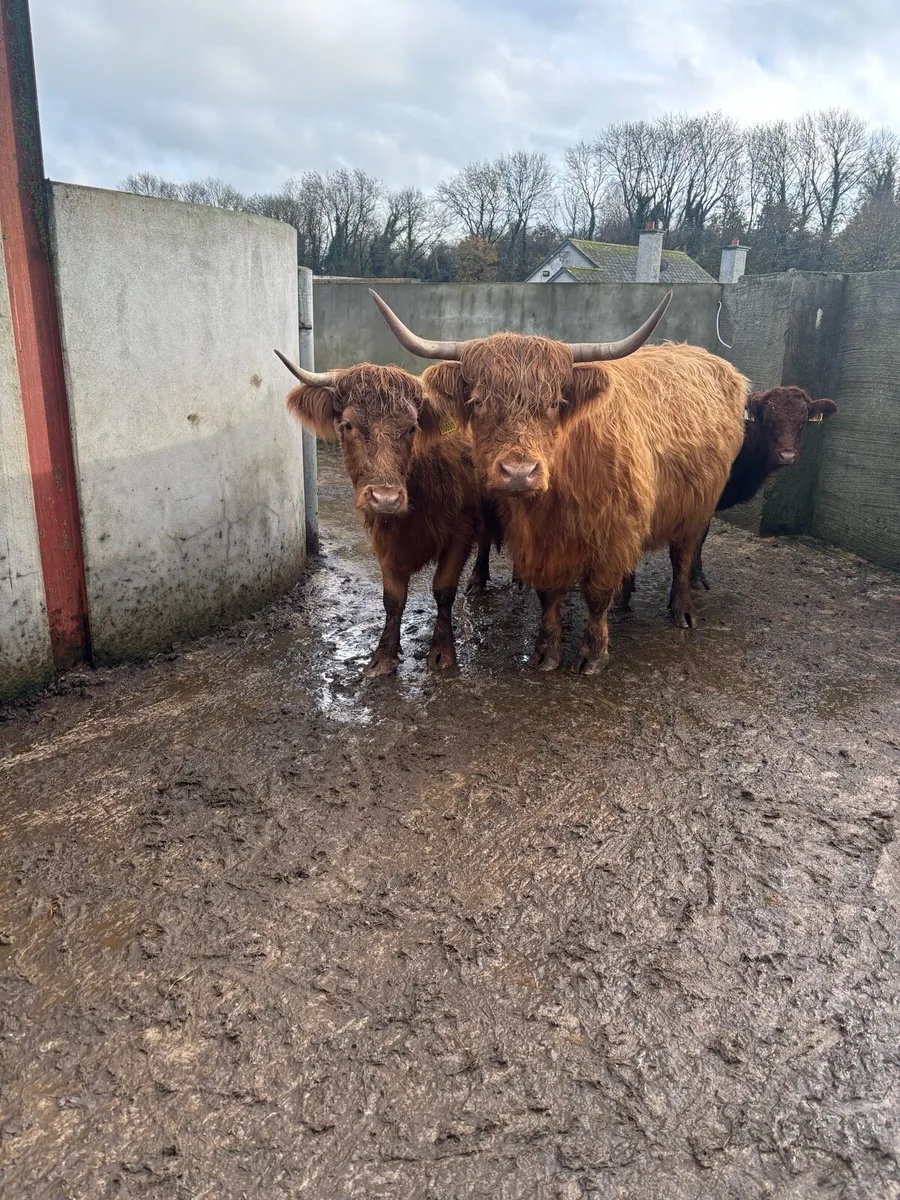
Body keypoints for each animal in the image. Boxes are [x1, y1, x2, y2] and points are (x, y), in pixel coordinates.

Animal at [275, 352, 497, 677]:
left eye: (412, 427)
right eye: (348, 425)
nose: (386, 498)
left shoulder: (460, 533)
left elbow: (444, 590)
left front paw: (442, 652)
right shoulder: (385, 539)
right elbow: (392, 598)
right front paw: (384, 655)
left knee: (487, 539)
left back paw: (479, 579)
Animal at [369, 289, 750, 673]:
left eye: (554, 402)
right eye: (478, 401)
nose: (519, 472)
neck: (557, 494)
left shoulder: (612, 534)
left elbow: (596, 595)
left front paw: (593, 654)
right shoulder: (540, 541)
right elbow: (548, 593)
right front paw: (546, 650)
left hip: (697, 506)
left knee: (683, 555)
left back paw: (681, 610)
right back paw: (626, 599)